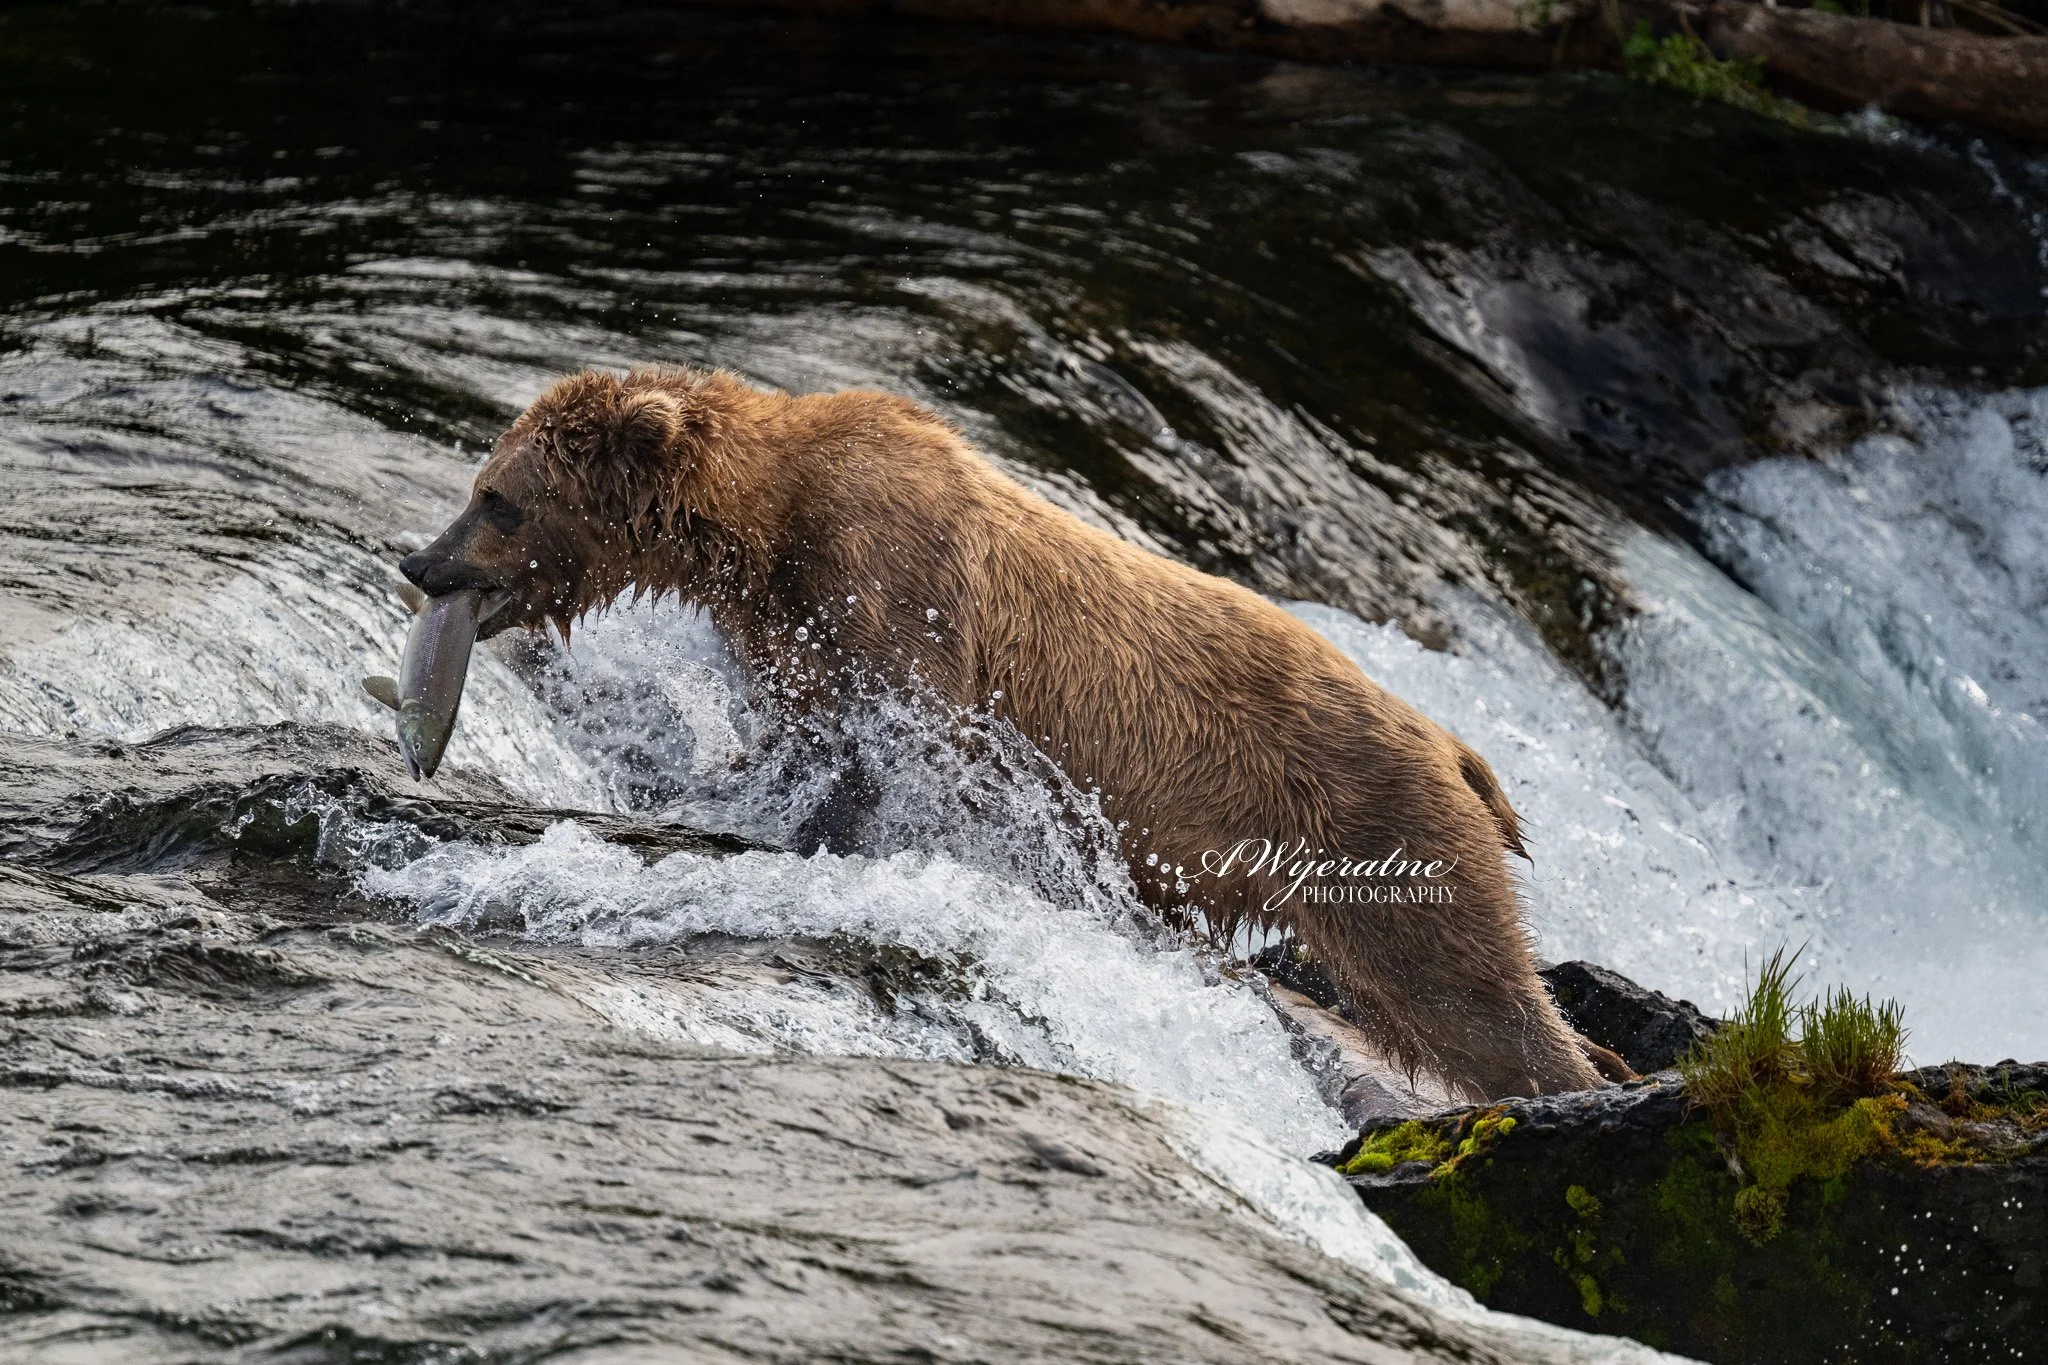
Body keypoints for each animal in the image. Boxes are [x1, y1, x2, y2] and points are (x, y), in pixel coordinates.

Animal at [399, 367, 1615, 1100]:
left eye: (496, 494)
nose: (420, 561)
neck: (760, 529)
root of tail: (1460, 747)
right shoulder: (793, 630)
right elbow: (794, 747)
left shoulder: (898, 595)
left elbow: (885, 760)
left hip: (1370, 825)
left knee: (1469, 992)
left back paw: (1574, 1078)